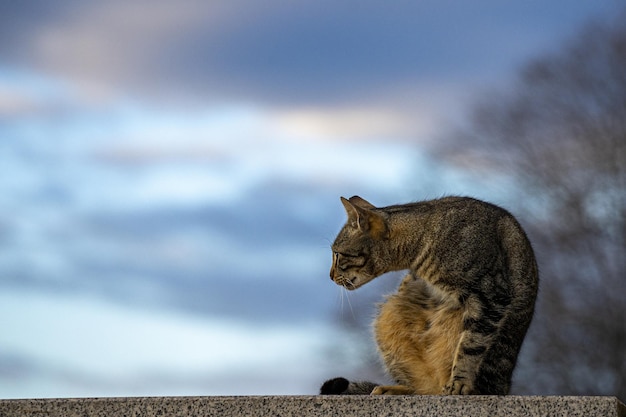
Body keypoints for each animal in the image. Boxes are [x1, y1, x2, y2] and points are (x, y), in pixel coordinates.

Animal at [320, 197, 540, 394]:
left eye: (337, 254)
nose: (330, 276)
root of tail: (505, 386)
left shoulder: (490, 296)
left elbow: (470, 347)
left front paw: (460, 382)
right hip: (389, 313)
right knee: (422, 388)